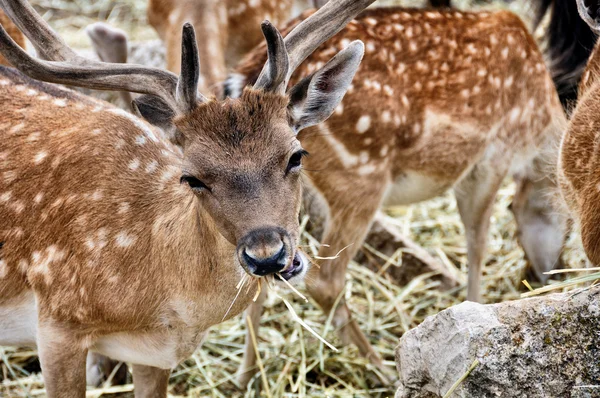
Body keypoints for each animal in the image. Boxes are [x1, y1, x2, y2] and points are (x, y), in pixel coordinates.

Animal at [227, 5, 568, 382]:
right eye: (571, 224)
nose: (554, 274)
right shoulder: (490, 160)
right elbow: (477, 241)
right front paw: (477, 308)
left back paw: (246, 377)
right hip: (360, 179)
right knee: (324, 280)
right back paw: (385, 371)